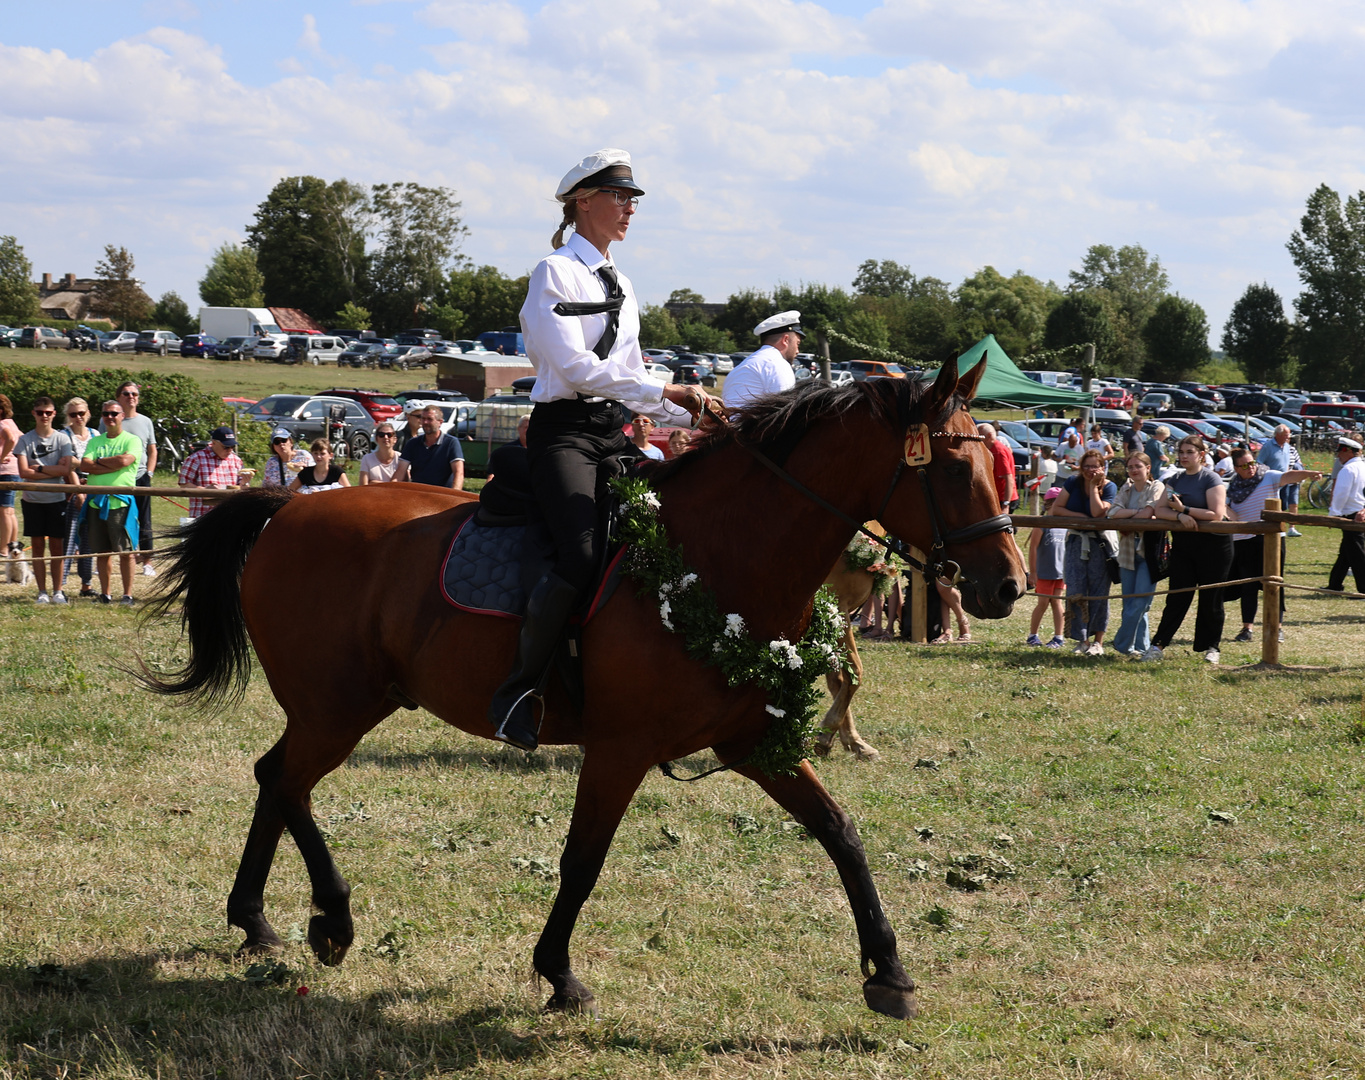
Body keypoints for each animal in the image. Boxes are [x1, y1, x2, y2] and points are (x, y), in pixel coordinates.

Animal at [141, 357, 1026, 1026]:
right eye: (955, 468)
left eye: (1000, 465)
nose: (1007, 586)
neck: (720, 558)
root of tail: (292, 504)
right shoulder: (619, 749)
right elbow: (582, 859)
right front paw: (559, 974)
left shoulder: (749, 743)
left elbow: (840, 833)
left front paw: (888, 972)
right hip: (338, 708)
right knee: (288, 783)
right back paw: (331, 918)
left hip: (340, 704)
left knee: (274, 779)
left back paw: (256, 920)